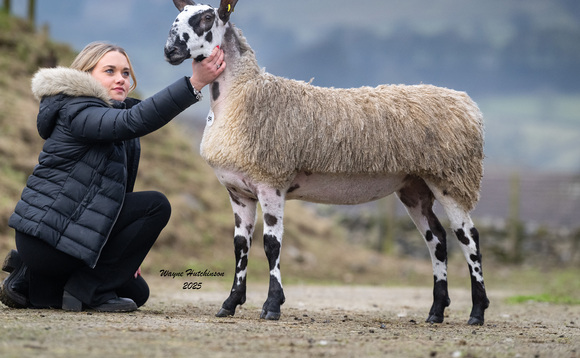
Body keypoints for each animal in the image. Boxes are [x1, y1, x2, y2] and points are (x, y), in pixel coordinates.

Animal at [164, 0, 490, 324]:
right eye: (179, 16)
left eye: (207, 17)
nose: (170, 50)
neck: (239, 96)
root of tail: (468, 105)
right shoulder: (238, 192)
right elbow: (240, 246)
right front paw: (230, 303)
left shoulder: (271, 183)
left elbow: (272, 244)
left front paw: (272, 305)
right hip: (415, 185)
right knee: (437, 239)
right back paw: (436, 311)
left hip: (451, 176)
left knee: (468, 237)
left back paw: (477, 311)